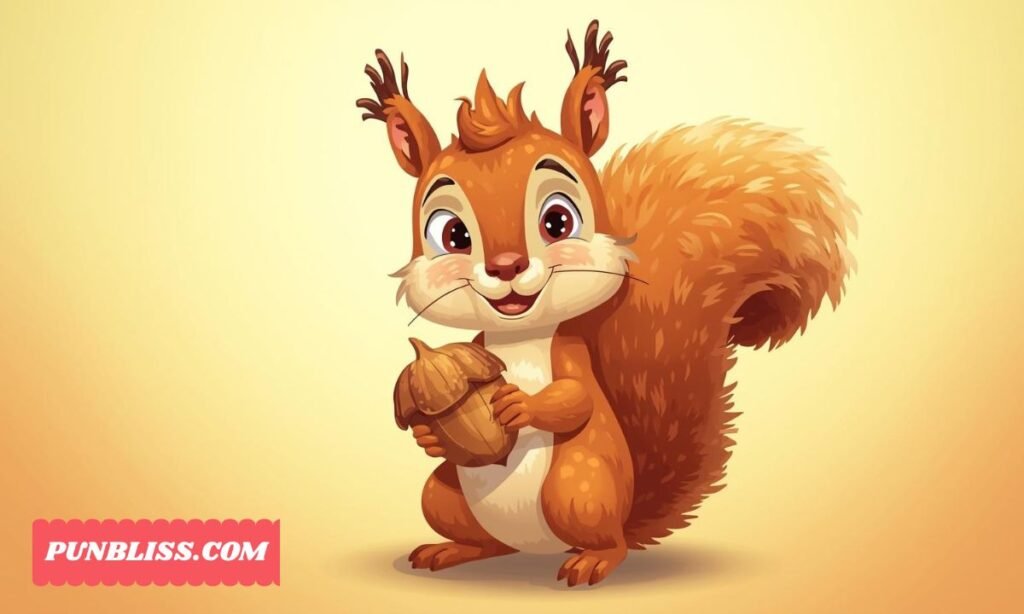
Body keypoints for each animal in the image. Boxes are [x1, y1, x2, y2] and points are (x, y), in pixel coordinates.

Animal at [356, 20, 856, 587]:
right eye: (452, 234)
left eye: (558, 220)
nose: (506, 266)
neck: (518, 336)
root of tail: (536, 548)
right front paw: (429, 435)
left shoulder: (569, 351)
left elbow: (576, 398)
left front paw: (520, 405)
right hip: (444, 496)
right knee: (482, 540)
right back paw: (453, 550)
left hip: (579, 490)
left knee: (608, 541)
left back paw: (593, 560)